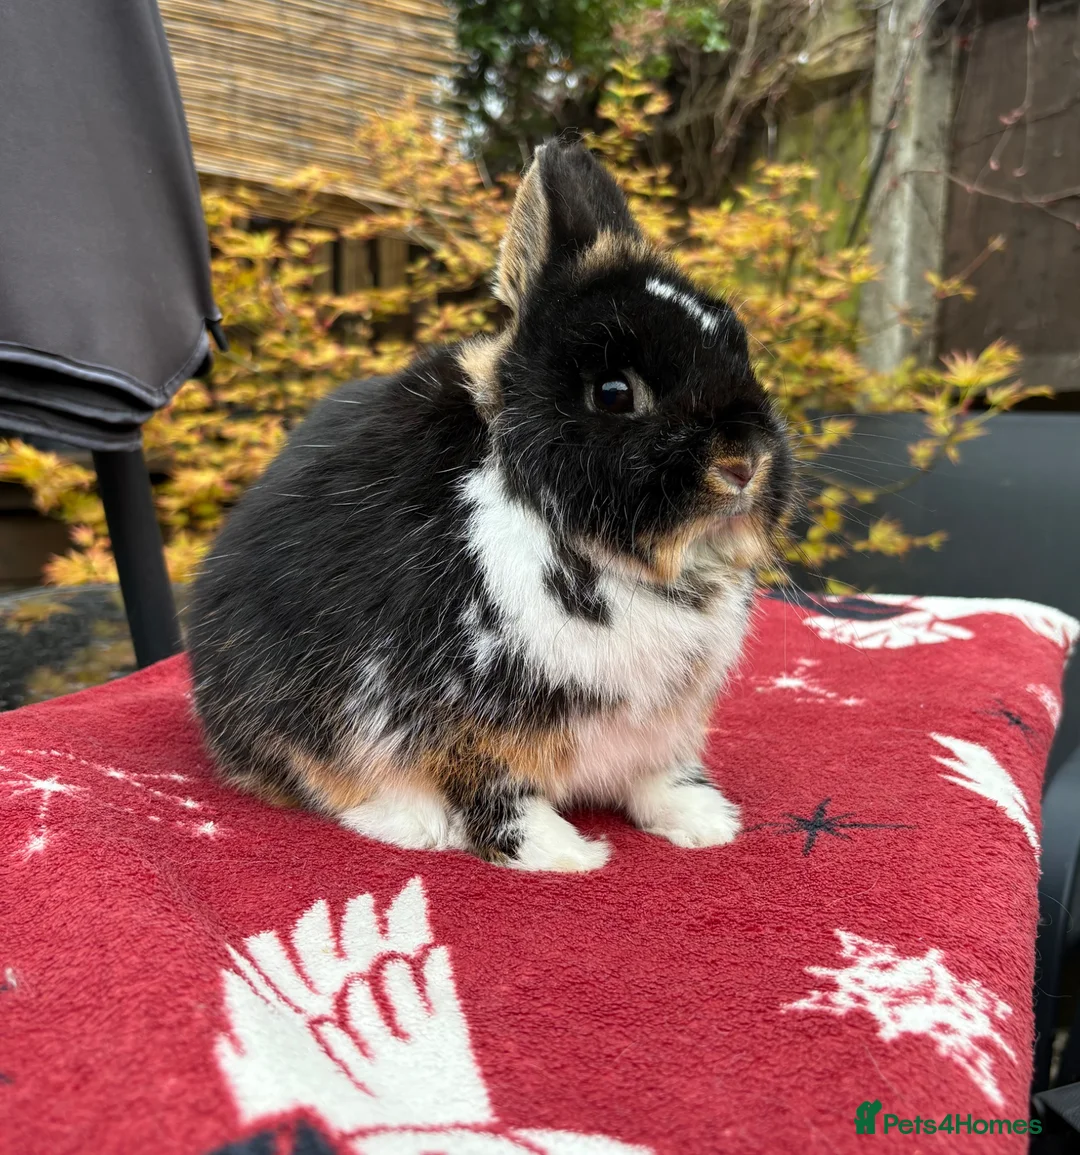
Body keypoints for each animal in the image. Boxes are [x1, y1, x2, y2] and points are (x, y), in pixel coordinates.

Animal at [187, 140, 795, 871]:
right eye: (614, 392)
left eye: (740, 349)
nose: (743, 464)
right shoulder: (459, 717)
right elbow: (499, 791)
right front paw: (566, 855)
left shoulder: (662, 727)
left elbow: (659, 777)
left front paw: (705, 824)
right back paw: (416, 825)